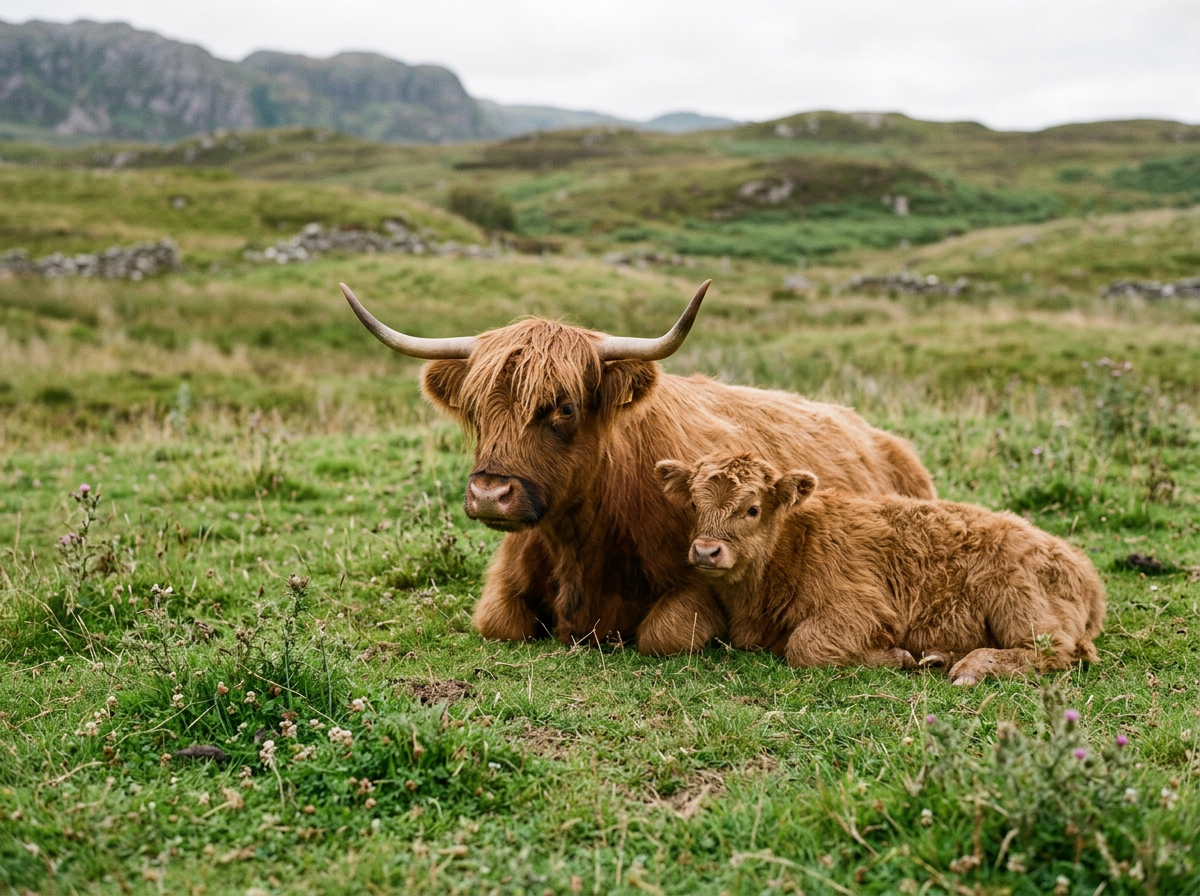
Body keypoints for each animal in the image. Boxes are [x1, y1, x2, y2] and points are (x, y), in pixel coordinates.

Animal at [342, 280, 936, 654]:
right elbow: (499, 623)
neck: (578, 542)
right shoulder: (504, 589)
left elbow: (661, 635)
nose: (491, 493)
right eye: (475, 406)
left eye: (564, 407)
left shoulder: (700, 589)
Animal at [655, 452, 1105, 684]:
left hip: (1021, 604)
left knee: (1053, 650)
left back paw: (968, 667)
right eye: (694, 503)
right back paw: (940, 657)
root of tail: (1083, 566)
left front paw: (896, 657)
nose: (707, 551)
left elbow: (806, 646)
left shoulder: (861, 608)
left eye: (752, 508)